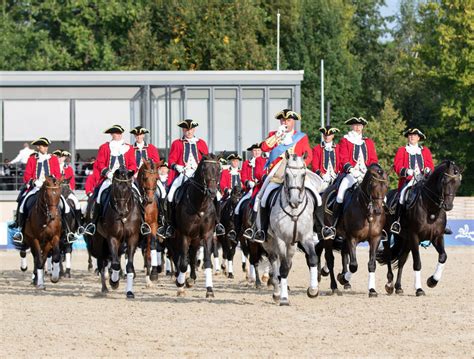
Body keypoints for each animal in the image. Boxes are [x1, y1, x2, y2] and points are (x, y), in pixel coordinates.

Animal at [85, 167, 142, 300]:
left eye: (129, 187)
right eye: (115, 187)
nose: (122, 211)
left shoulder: (132, 238)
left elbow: (129, 266)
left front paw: (129, 292)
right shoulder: (112, 237)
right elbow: (115, 264)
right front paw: (114, 282)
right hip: (99, 241)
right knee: (101, 262)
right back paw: (104, 287)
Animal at [167, 155, 222, 298]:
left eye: (218, 170)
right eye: (204, 169)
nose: (212, 192)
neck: (200, 205)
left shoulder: (207, 235)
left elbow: (207, 261)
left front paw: (209, 289)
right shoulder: (184, 235)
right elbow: (183, 263)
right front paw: (180, 286)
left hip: (196, 238)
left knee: (191, 255)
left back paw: (191, 278)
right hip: (174, 237)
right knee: (177, 256)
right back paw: (180, 278)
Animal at [262, 152, 324, 306]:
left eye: (303, 174)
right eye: (286, 174)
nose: (295, 201)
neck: (294, 210)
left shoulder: (306, 237)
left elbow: (313, 258)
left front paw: (313, 290)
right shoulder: (280, 239)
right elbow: (282, 268)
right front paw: (284, 298)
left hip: (292, 244)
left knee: (287, 262)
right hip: (270, 243)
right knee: (275, 262)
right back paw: (277, 293)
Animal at [322, 164, 388, 298]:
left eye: (386, 186)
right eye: (373, 185)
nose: (378, 211)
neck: (367, 211)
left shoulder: (375, 238)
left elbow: (371, 264)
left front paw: (372, 290)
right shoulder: (352, 237)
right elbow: (353, 266)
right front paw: (343, 278)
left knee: (343, 253)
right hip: (330, 235)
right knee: (330, 259)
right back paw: (334, 286)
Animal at [378, 160, 462, 296]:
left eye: (458, 183)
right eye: (444, 181)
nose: (448, 206)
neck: (430, 209)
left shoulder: (437, 237)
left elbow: (443, 256)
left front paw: (432, 281)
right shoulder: (415, 236)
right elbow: (417, 263)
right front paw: (419, 289)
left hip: (405, 240)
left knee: (401, 261)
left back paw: (398, 287)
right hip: (389, 235)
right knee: (389, 256)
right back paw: (390, 284)